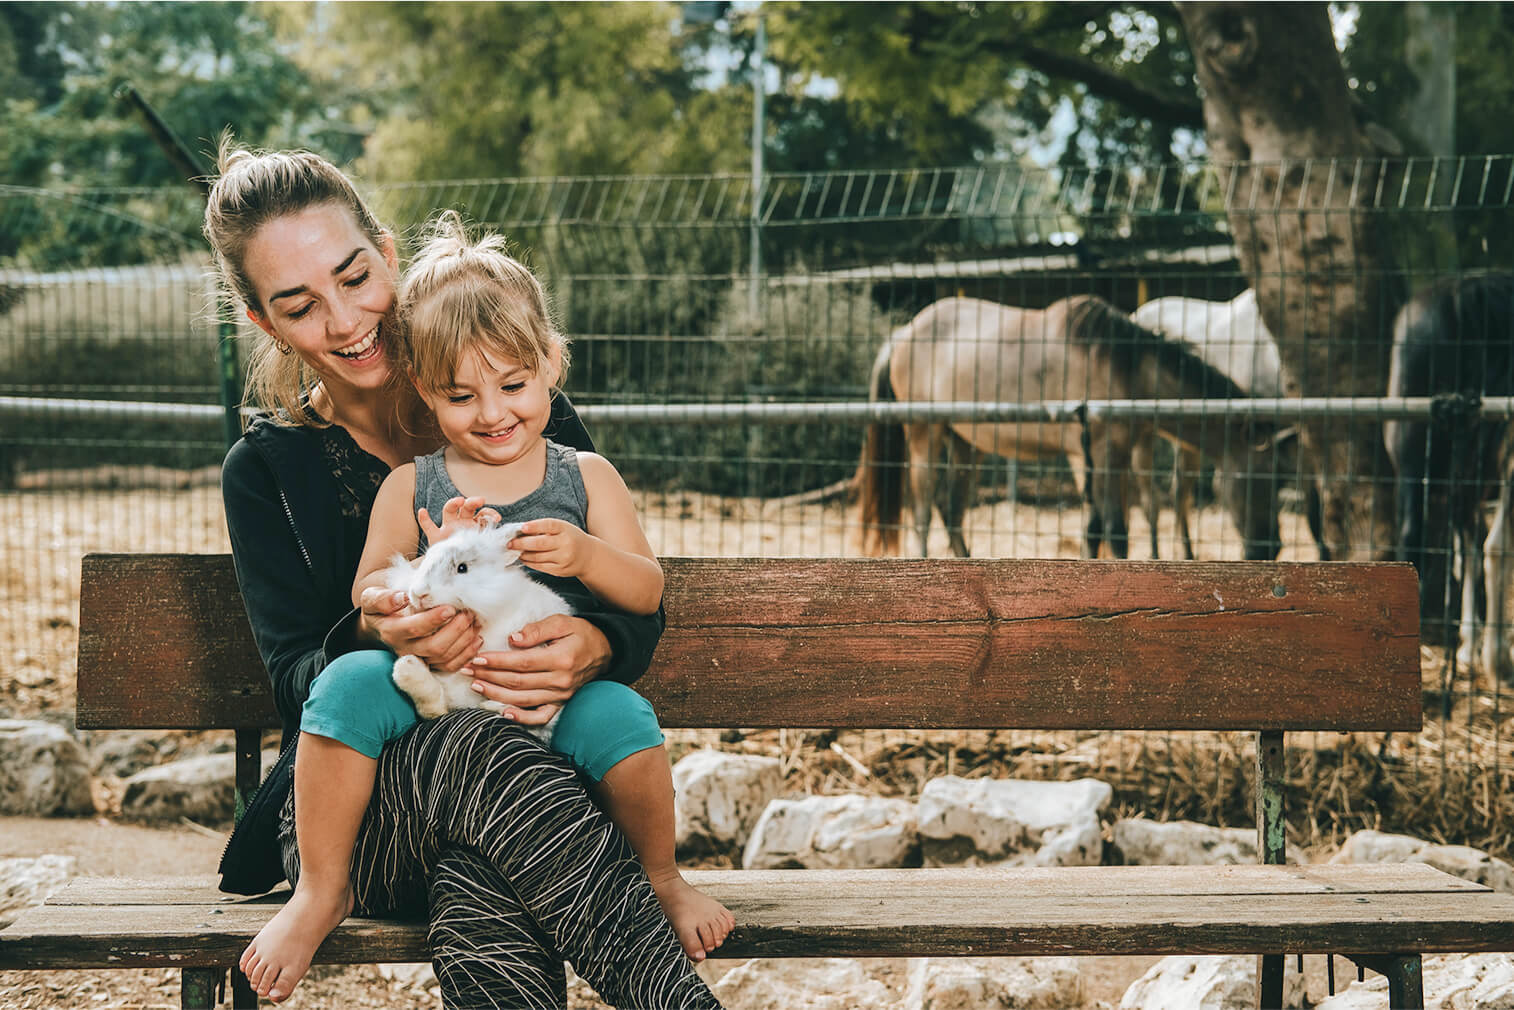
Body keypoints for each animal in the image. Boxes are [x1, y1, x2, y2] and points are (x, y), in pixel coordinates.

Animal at [859, 296, 1283, 557]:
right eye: (1257, 480)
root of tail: (904, 332)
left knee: (952, 511)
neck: (1124, 369)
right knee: (923, 512)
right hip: (924, 435)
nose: (1271, 548)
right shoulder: (1098, 455)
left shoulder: (1103, 458)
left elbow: (1094, 529)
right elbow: (1115, 532)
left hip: (967, 443)